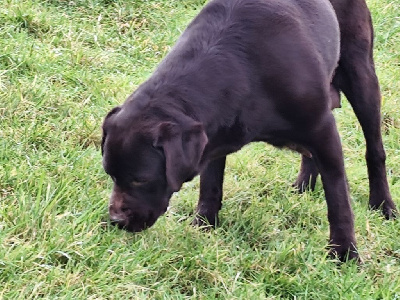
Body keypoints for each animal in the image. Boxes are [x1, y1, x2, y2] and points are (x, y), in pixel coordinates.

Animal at [101, 0, 396, 262]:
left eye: (141, 180)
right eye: (111, 175)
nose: (116, 221)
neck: (243, 71)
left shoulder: (323, 129)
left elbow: (338, 200)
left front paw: (344, 253)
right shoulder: (211, 137)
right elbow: (210, 185)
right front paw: (204, 225)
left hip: (361, 76)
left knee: (375, 150)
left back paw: (383, 204)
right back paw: (304, 186)